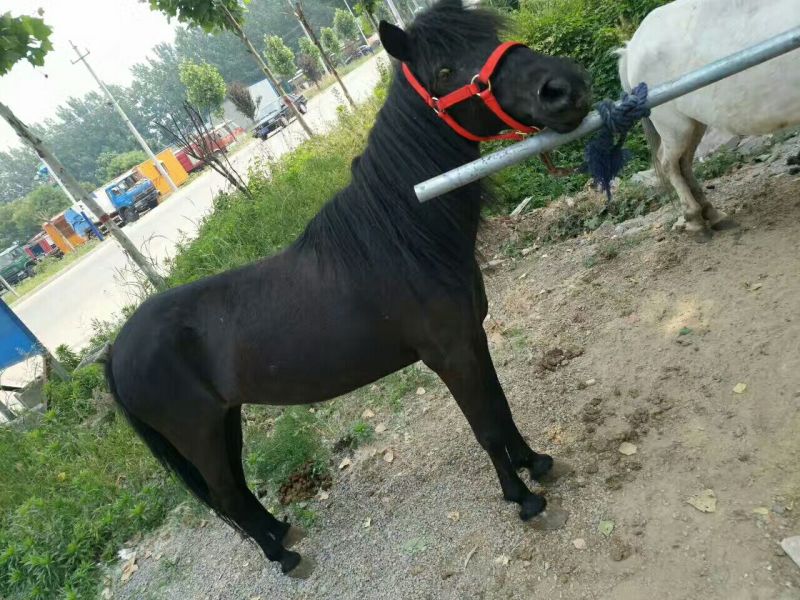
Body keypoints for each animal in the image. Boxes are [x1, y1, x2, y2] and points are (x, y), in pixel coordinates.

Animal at [105, 0, 591, 577]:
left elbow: (501, 407)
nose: (563, 88)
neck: (403, 238)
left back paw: (280, 530)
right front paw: (524, 499)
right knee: (225, 496)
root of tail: (115, 352)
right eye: (444, 72)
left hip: (226, 420)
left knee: (239, 490)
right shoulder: (450, 355)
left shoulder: (472, 339)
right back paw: (285, 556)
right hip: (197, 432)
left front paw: (537, 463)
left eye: (491, 36)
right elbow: (486, 426)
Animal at [617, 0, 800, 241]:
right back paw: (695, 220)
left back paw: (712, 214)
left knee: (684, 163)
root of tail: (631, 48)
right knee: (669, 164)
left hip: (695, 124)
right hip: (675, 126)